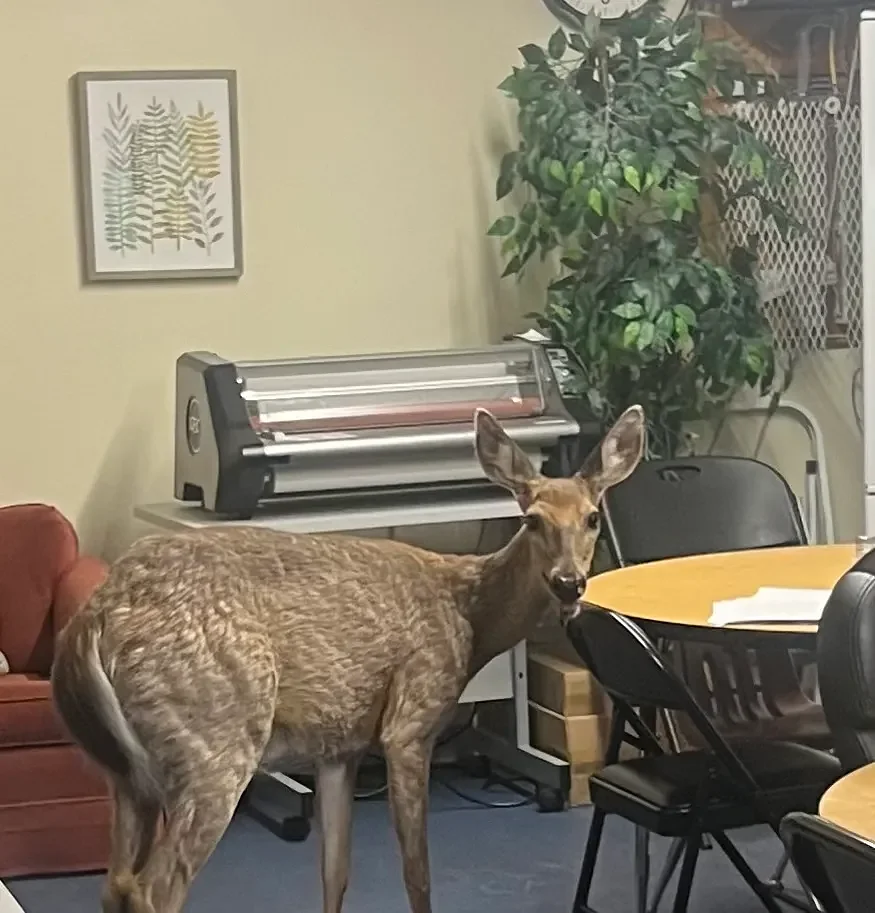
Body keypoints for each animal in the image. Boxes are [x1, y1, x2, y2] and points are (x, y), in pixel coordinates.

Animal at [51, 403, 645, 913]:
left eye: (592, 518)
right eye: (532, 520)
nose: (569, 583)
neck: (469, 616)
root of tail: (91, 622)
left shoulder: (340, 745)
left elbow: (335, 872)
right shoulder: (410, 718)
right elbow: (418, 873)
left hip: (125, 772)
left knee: (115, 884)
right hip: (215, 736)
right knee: (153, 889)